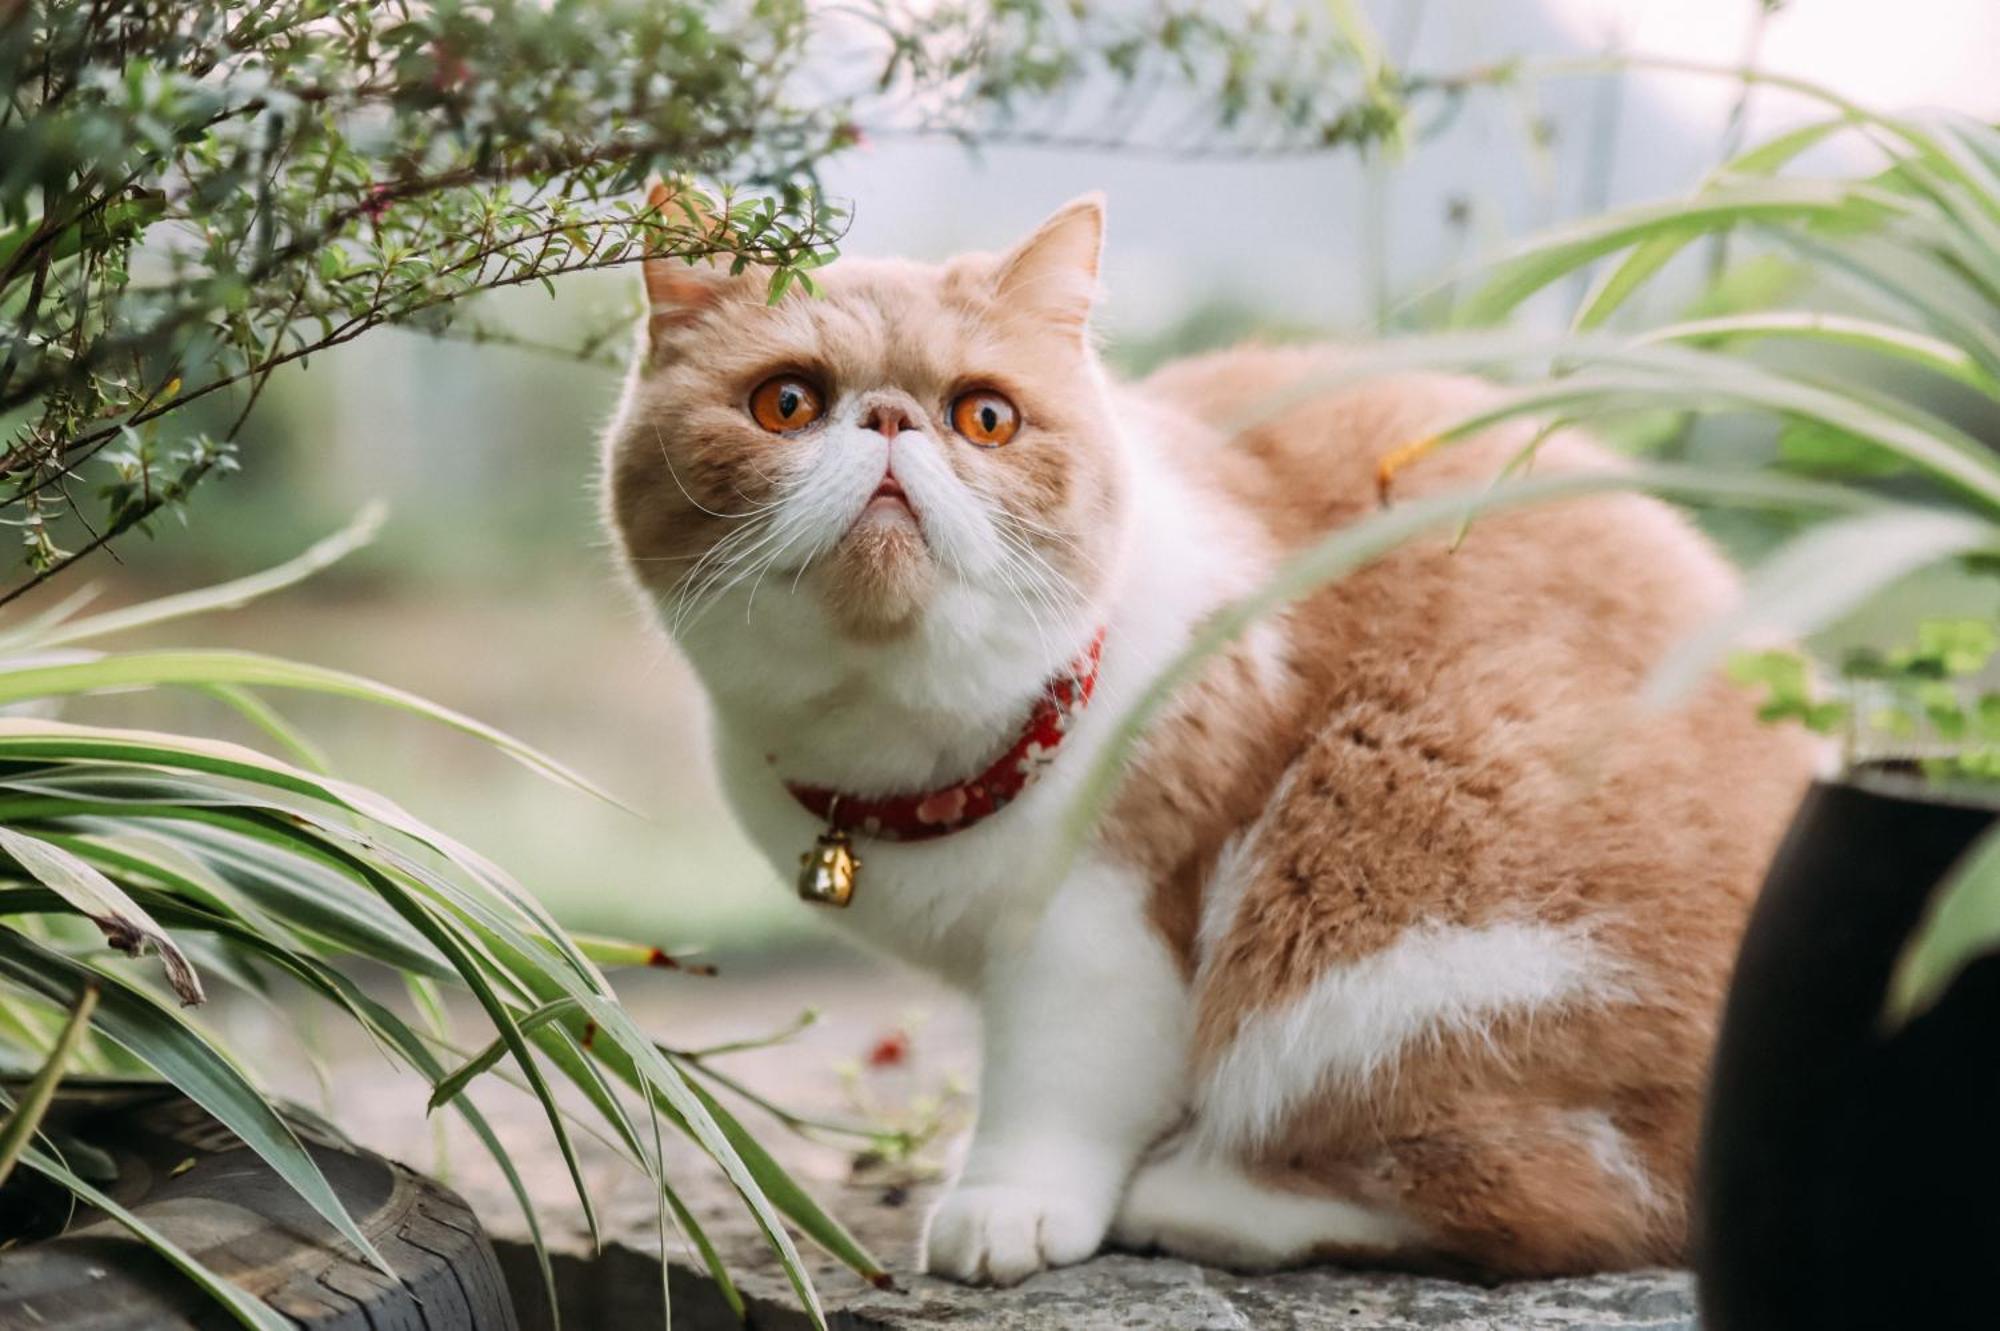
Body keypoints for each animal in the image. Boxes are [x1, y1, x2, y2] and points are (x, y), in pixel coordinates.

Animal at [596, 188, 1832, 1287]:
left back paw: (1189, 1196)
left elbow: (1057, 1073)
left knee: (1549, 1197)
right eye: (786, 403)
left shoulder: (1106, 913)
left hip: (1381, 921)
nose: (892, 419)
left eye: (984, 416)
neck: (902, 744)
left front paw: (1008, 1199)